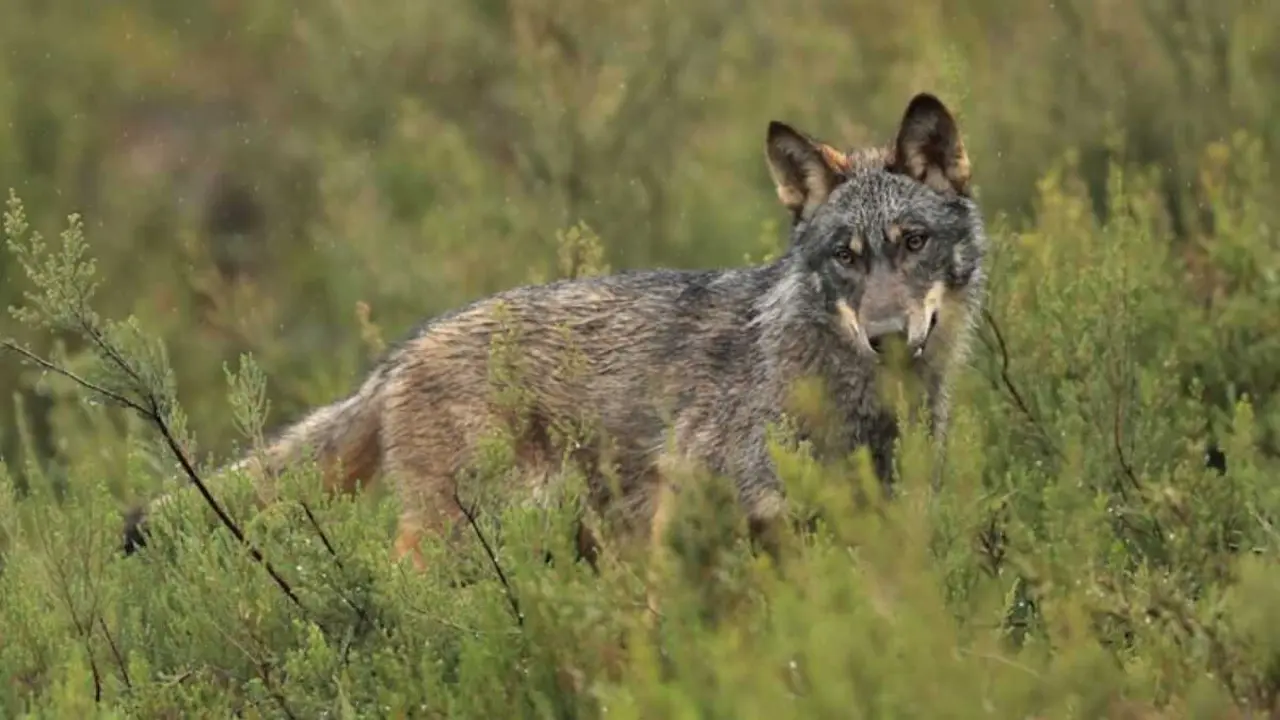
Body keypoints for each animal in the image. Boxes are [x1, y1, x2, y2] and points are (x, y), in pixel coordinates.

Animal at [121, 92, 988, 571]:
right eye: (845, 257)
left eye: (913, 242)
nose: (886, 335)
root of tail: (401, 352)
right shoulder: (707, 513)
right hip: (468, 533)